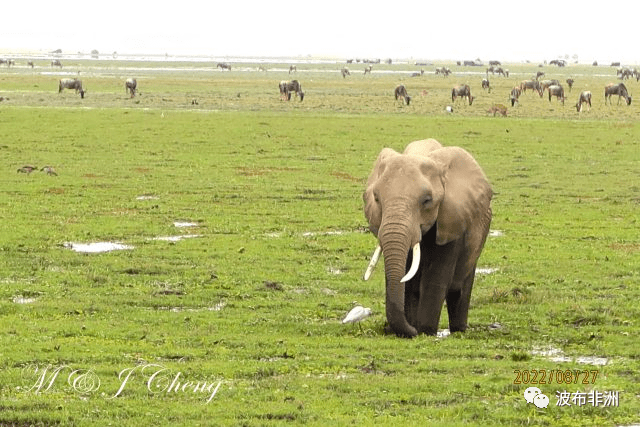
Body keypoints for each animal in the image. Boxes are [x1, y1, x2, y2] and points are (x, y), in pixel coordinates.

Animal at [362, 140, 492, 338]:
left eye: (427, 200)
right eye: (376, 198)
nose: (386, 328)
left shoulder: (452, 220)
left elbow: (434, 278)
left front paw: (425, 331)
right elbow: (407, 280)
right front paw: (410, 330)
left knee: (460, 289)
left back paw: (458, 330)